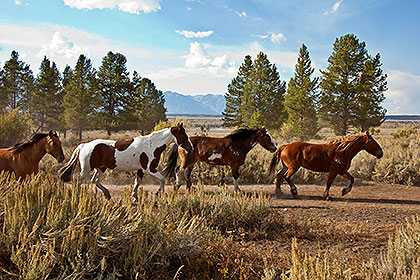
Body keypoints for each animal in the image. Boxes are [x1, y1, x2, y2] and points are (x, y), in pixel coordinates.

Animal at [58, 123, 192, 200]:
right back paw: (77, 196)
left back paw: (107, 194)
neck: (152, 145)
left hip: (101, 168)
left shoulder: (141, 170)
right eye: (184, 135)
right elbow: (162, 179)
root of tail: (84, 145)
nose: (190, 148)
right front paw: (158, 194)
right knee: (78, 181)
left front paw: (135, 196)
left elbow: (137, 183)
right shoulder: (149, 169)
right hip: (86, 169)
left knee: (94, 180)